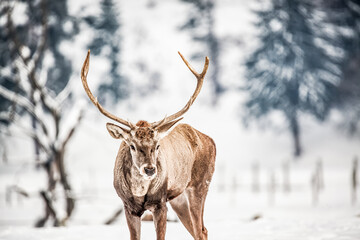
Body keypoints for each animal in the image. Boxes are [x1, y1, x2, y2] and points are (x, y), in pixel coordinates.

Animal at [81, 49, 217, 239]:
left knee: (201, 230)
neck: (139, 192)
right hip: (179, 198)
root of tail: (210, 140)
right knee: (197, 230)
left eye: (157, 145)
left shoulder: (160, 204)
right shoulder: (128, 207)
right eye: (132, 146)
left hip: (200, 184)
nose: (150, 169)